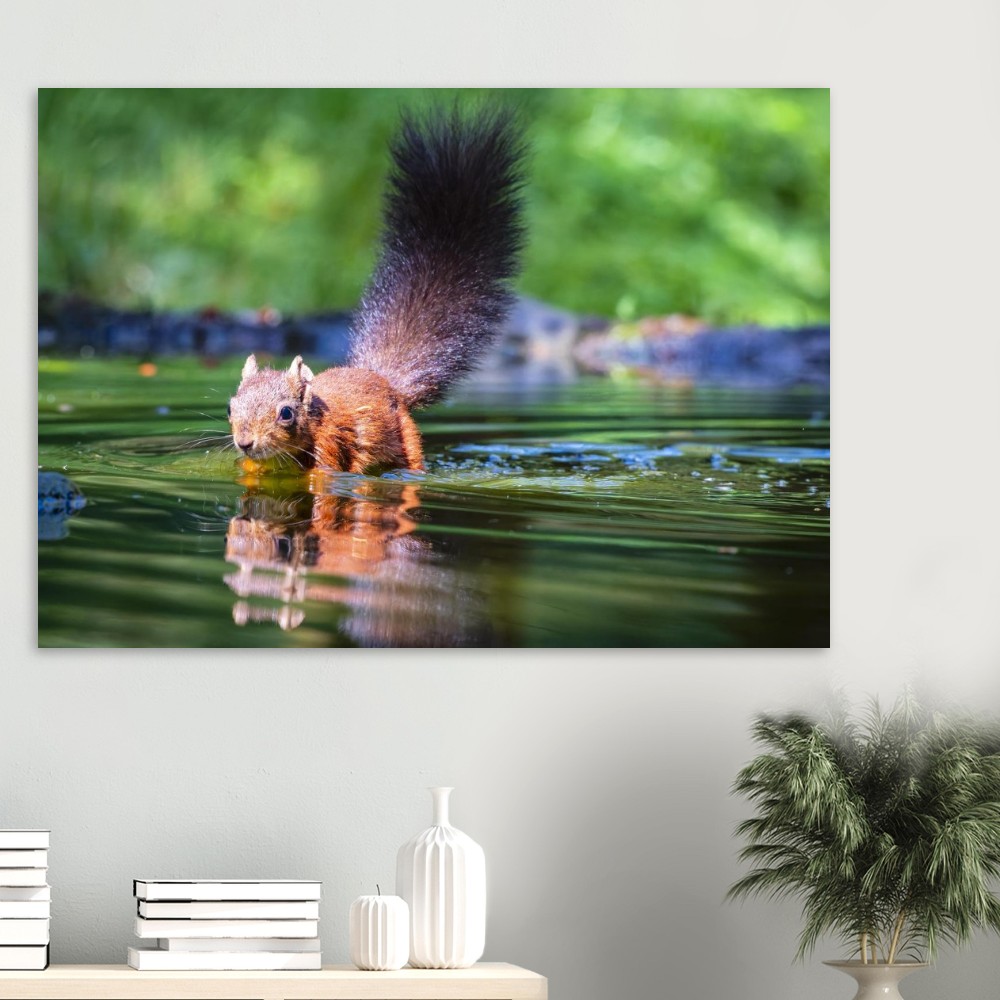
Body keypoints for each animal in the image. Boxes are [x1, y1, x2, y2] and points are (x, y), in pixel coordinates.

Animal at [227, 108, 526, 474]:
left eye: (286, 413)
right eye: (230, 407)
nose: (245, 442)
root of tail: (383, 379)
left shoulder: (330, 443)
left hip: (407, 436)